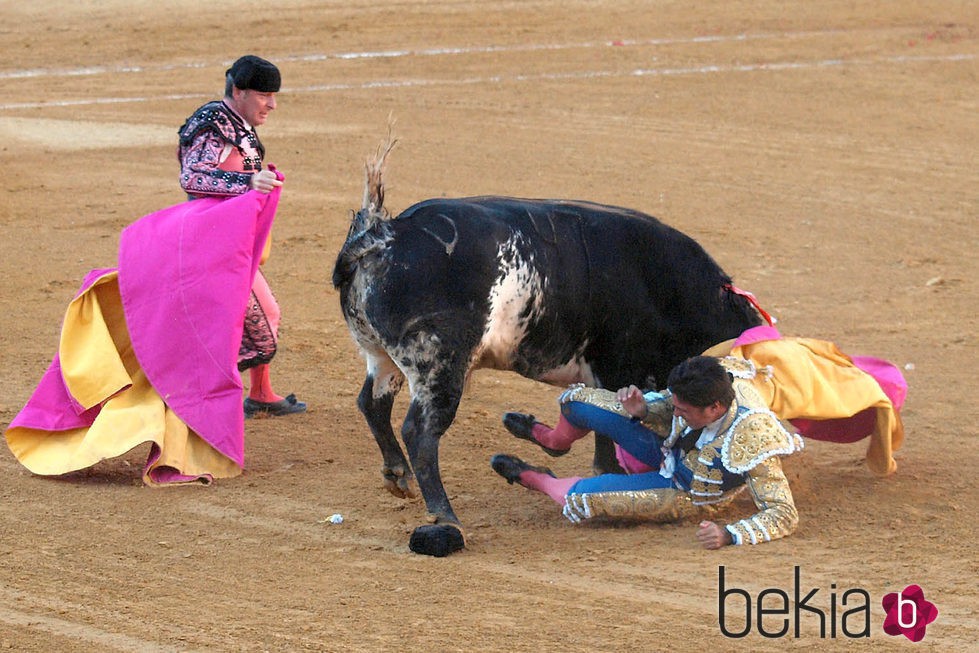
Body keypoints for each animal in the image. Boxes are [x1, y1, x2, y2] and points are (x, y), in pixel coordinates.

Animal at [334, 190, 760, 556]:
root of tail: (386, 235)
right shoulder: (616, 368)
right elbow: (606, 424)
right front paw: (606, 468)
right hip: (439, 363)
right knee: (420, 431)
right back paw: (445, 515)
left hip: (382, 356)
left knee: (372, 404)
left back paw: (398, 477)